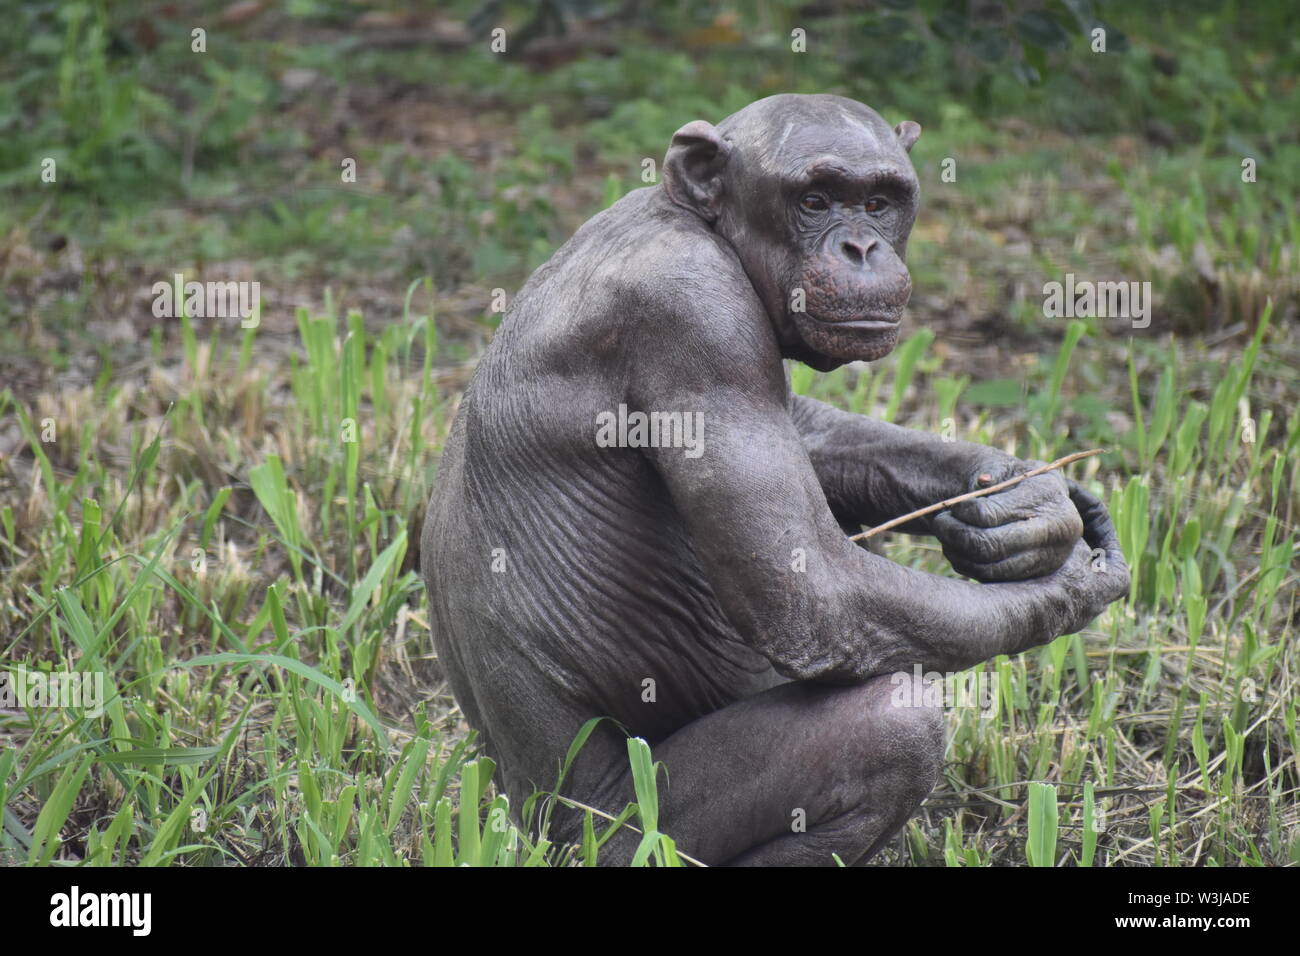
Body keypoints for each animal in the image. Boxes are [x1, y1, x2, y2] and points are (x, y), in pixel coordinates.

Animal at [423, 91, 1128, 868]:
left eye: (878, 202)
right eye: (814, 200)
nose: (861, 246)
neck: (699, 223)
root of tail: (516, 816)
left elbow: (805, 429)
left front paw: (1028, 500)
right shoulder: (698, 322)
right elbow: (809, 590)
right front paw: (1075, 585)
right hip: (616, 830)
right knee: (890, 725)